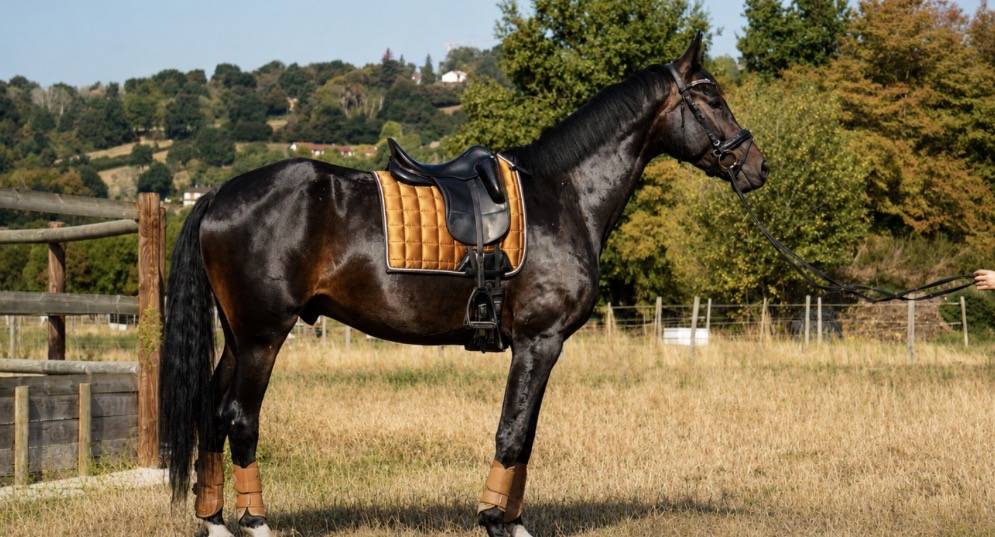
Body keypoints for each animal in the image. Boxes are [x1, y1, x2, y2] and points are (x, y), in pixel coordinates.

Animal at [159, 33, 768, 537]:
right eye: (712, 99)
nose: (756, 166)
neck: (563, 195)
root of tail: (216, 194)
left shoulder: (538, 347)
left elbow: (525, 434)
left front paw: (511, 520)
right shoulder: (539, 343)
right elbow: (513, 432)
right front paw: (497, 521)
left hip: (238, 336)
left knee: (211, 412)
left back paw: (215, 521)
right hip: (263, 335)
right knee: (240, 418)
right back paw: (256, 523)